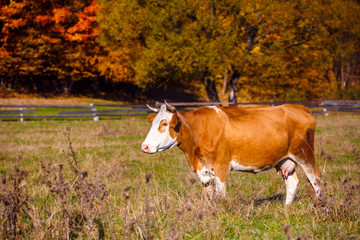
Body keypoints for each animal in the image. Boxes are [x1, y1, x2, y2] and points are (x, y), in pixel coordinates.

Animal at [141, 101, 324, 204]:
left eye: (164, 123)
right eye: (154, 122)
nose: (145, 147)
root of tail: (299, 108)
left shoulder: (222, 166)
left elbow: (220, 194)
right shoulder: (203, 170)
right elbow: (209, 194)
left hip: (304, 154)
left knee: (316, 179)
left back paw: (322, 207)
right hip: (284, 159)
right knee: (292, 182)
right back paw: (286, 208)